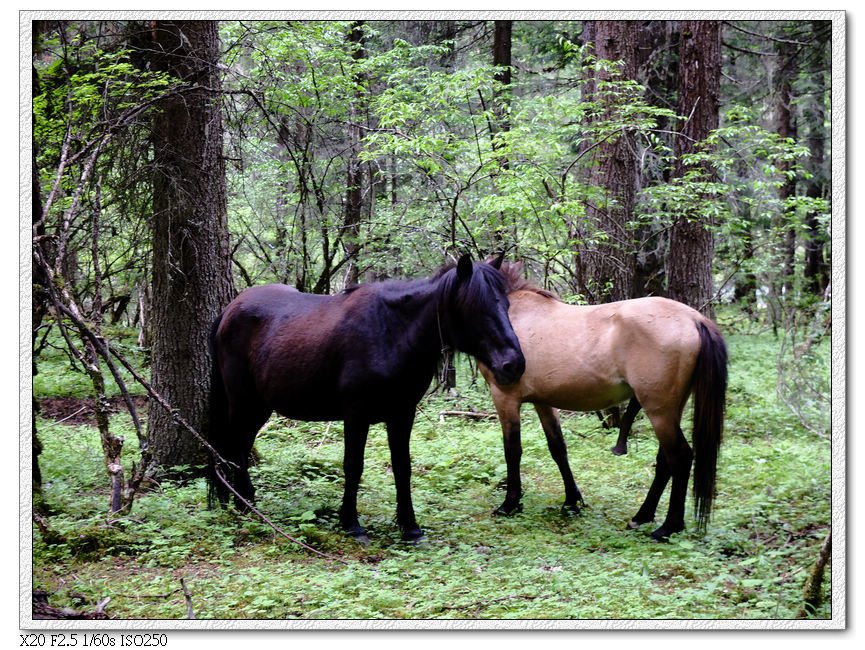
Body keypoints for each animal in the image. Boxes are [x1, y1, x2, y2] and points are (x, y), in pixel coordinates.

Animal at [208, 256, 528, 540]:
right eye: (475, 308)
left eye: (507, 305)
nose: (513, 364)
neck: (391, 333)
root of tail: (228, 311)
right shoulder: (356, 414)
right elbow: (353, 465)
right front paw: (351, 524)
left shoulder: (402, 413)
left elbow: (402, 466)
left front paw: (410, 528)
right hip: (243, 403)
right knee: (235, 447)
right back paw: (245, 505)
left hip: (259, 407)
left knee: (238, 446)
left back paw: (238, 501)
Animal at [476, 260, 724, 540]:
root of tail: (695, 318)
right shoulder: (543, 401)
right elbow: (557, 448)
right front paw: (571, 502)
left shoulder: (505, 397)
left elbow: (512, 451)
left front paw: (510, 504)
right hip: (670, 409)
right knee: (665, 461)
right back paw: (642, 516)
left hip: (659, 411)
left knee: (679, 457)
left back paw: (668, 526)